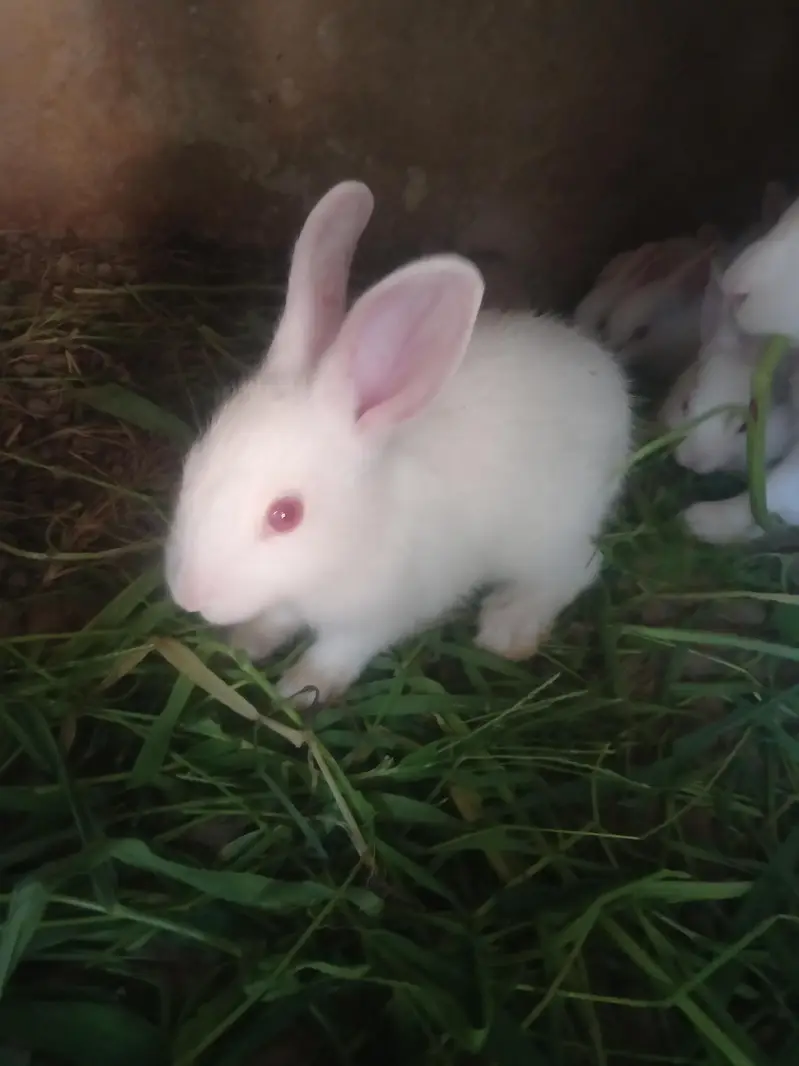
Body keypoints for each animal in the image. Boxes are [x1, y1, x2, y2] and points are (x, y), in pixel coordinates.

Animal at [165, 180, 633, 706]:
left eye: (285, 515)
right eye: (191, 468)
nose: (189, 596)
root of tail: (610, 383)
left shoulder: (381, 614)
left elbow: (340, 649)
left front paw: (302, 689)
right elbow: (277, 619)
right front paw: (246, 643)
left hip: (545, 535)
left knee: (579, 567)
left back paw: (508, 625)